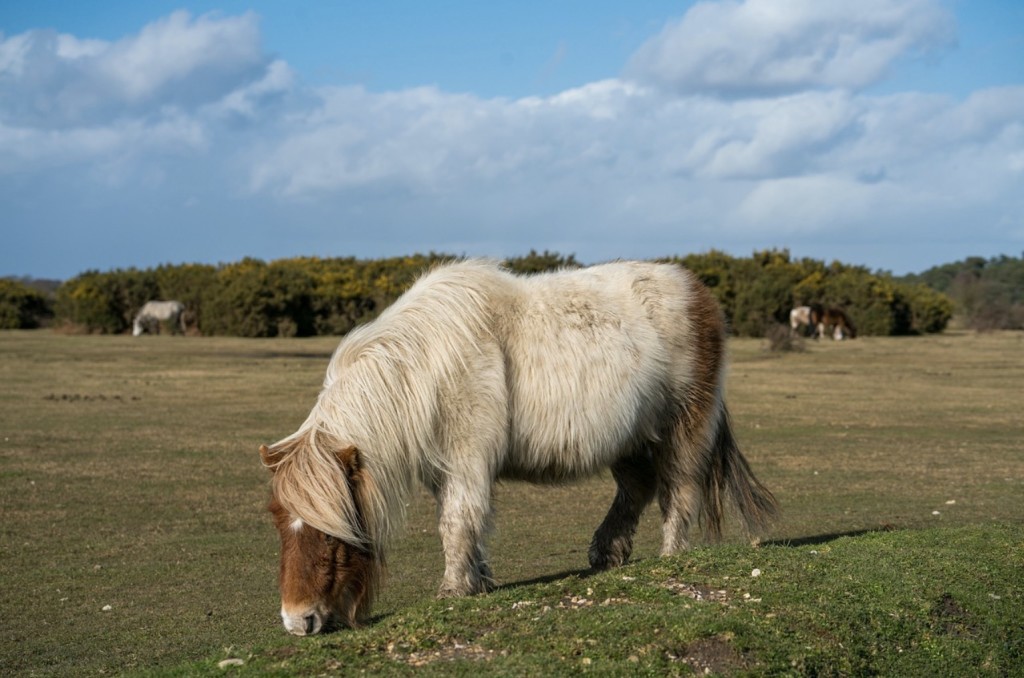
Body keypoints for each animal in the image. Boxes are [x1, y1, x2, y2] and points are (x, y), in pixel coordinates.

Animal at [260, 260, 778, 639]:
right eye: (281, 526)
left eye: (332, 534)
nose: (298, 621)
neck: (423, 367)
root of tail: (698, 292)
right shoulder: (446, 469)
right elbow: (463, 520)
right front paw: (479, 581)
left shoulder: (467, 460)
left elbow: (457, 521)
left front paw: (452, 590)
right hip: (630, 437)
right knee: (638, 487)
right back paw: (606, 553)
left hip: (684, 426)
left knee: (679, 491)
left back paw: (670, 557)